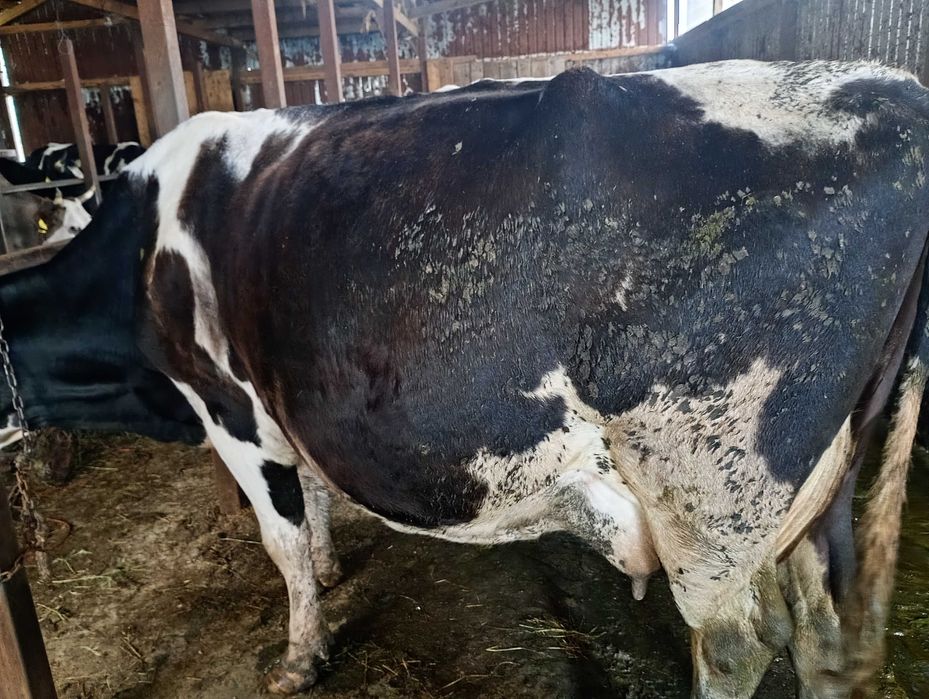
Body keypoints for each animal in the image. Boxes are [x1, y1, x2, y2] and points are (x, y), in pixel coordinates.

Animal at [0, 60, 927, 698]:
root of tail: (893, 90)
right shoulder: (289, 408)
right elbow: (318, 504)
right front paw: (332, 569)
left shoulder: (233, 411)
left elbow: (283, 540)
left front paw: (300, 655)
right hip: (817, 493)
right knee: (819, 635)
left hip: (712, 493)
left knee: (737, 641)